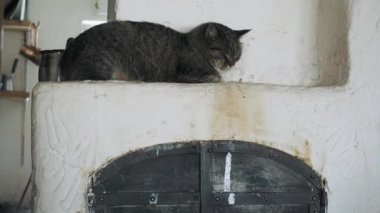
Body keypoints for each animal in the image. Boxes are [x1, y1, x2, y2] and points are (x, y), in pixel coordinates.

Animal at [60, 20, 249, 82]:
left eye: (236, 54)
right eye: (223, 53)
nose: (231, 63)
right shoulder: (186, 74)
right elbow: (215, 77)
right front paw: (218, 77)